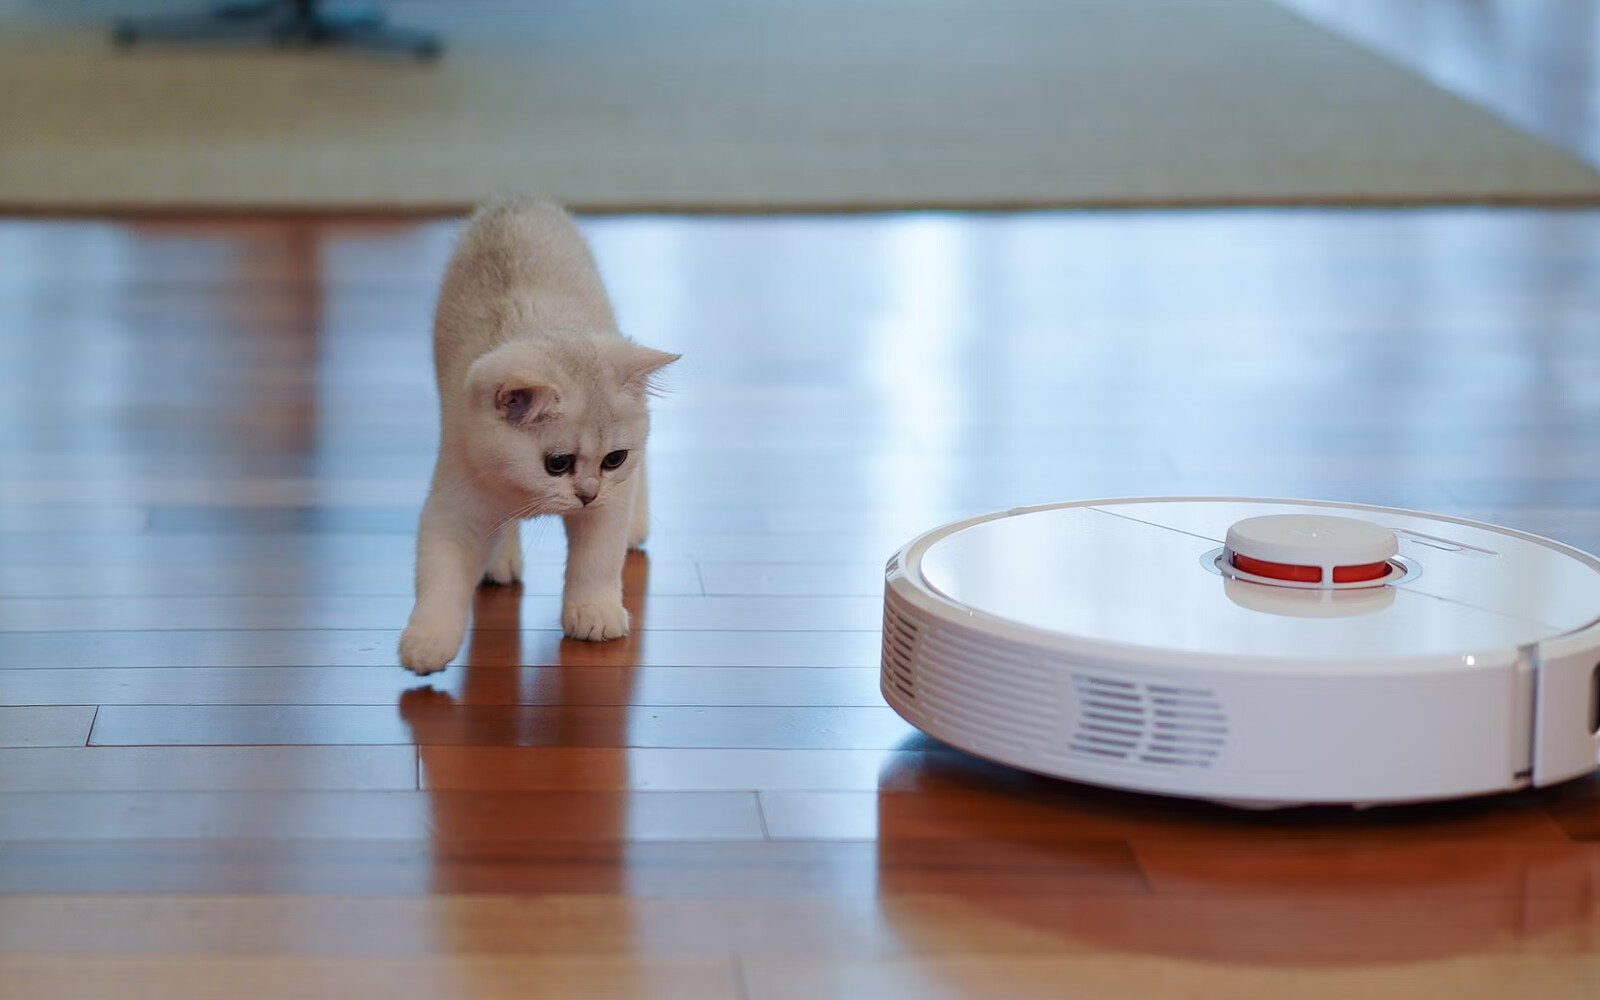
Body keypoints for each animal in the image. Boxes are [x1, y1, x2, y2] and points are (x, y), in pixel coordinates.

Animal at [403, 199, 678, 675]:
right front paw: (427, 642)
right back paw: (500, 560)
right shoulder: (454, 502)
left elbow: (596, 560)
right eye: (557, 463)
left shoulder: (609, 504)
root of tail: (515, 202)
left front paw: (593, 613)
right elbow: (440, 576)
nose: (587, 493)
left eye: (614, 459)